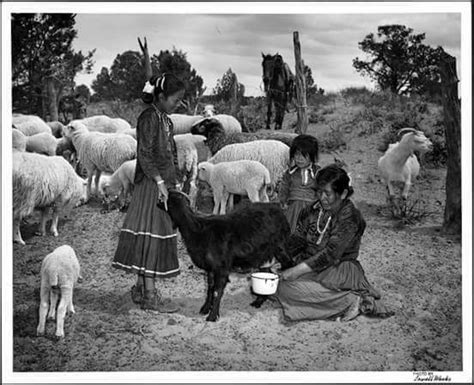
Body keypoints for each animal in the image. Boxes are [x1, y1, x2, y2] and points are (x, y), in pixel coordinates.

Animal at [161, 190, 294, 320]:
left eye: (163, 199)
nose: (157, 202)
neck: (198, 231)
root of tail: (279, 211)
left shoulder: (222, 267)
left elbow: (217, 291)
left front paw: (212, 316)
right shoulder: (211, 268)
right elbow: (210, 288)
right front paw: (205, 309)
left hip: (280, 247)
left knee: (289, 264)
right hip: (264, 255)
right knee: (267, 273)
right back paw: (258, 301)